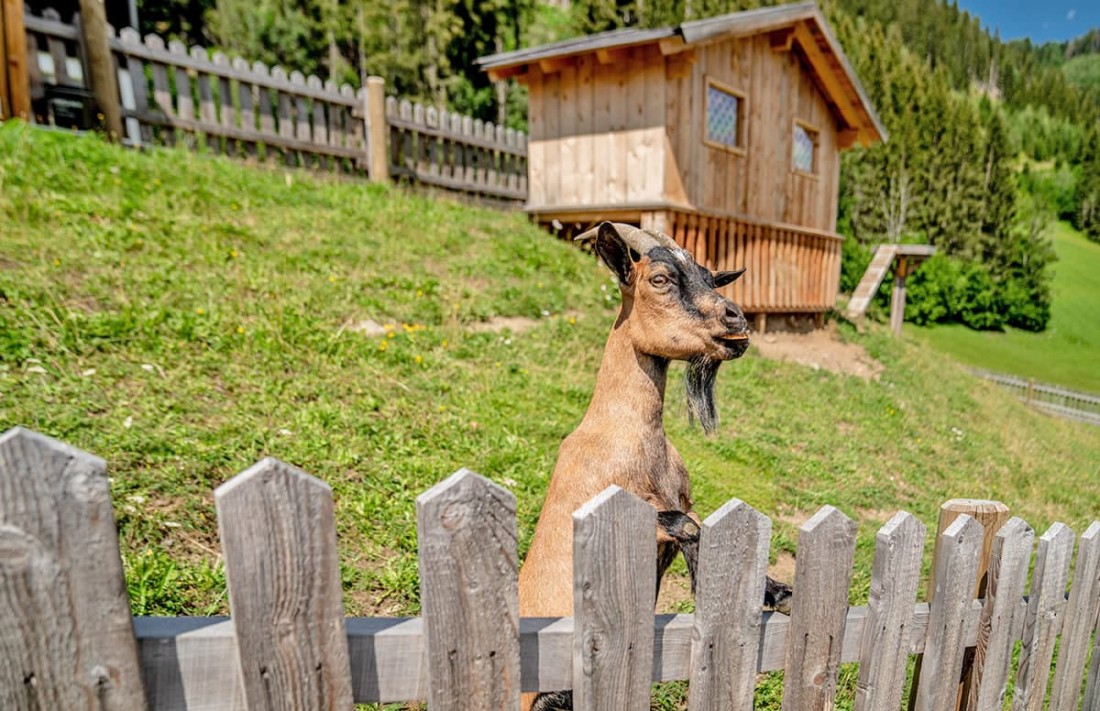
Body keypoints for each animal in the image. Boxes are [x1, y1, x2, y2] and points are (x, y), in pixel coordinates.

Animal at [520, 222, 792, 711]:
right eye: (660, 279)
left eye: (710, 276)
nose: (736, 319)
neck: (626, 436)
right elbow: (687, 524)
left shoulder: (681, 499)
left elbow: (701, 520)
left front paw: (778, 590)